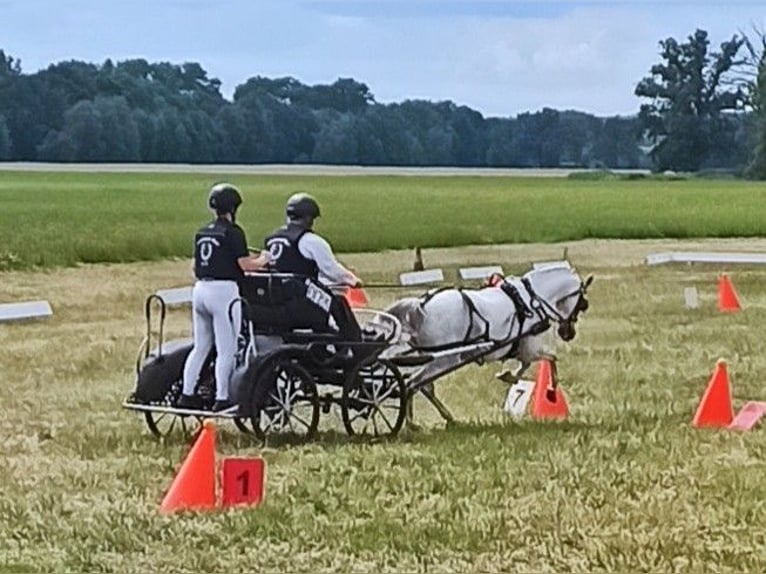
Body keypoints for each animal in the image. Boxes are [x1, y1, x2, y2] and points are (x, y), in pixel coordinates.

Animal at [384, 266, 592, 428]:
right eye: (582, 304)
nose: (568, 334)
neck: (532, 300)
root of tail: (420, 305)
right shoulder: (531, 348)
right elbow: (551, 360)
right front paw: (549, 391)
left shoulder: (522, 349)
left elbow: (526, 365)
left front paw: (508, 376)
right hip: (445, 360)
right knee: (411, 384)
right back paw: (410, 424)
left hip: (434, 359)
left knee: (422, 386)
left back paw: (441, 419)